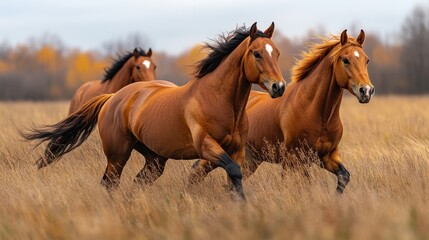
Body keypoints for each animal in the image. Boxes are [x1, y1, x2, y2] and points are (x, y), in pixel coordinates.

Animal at [22, 22, 284, 200]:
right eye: (257, 53)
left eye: (277, 53)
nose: (279, 87)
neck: (218, 100)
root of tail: (112, 98)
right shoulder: (207, 147)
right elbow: (233, 172)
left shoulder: (237, 151)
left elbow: (234, 177)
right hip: (118, 155)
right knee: (109, 183)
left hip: (155, 159)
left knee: (137, 181)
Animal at [191, 29, 374, 193]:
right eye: (345, 60)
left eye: (366, 60)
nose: (366, 91)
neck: (319, 113)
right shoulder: (294, 160)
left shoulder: (328, 155)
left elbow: (344, 176)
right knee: (197, 170)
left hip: (249, 160)